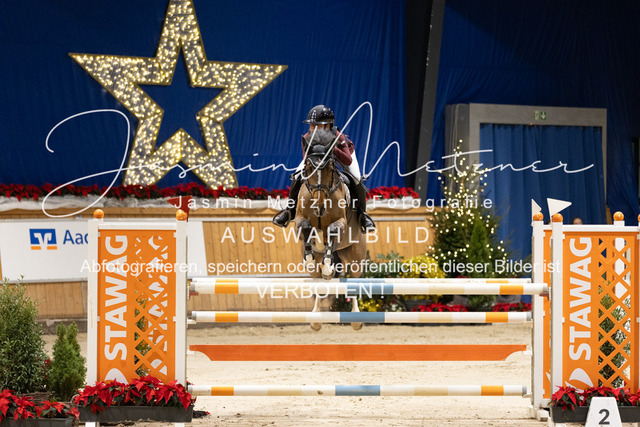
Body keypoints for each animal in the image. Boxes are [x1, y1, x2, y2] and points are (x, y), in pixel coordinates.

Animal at [293, 129, 367, 331]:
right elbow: (305, 227)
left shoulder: (341, 223)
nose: (319, 206)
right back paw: (316, 320)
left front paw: (328, 268)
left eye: (329, 168)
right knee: (318, 281)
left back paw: (356, 319)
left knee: (354, 280)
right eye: (308, 168)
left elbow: (333, 229)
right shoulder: (299, 221)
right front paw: (310, 259)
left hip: (354, 256)